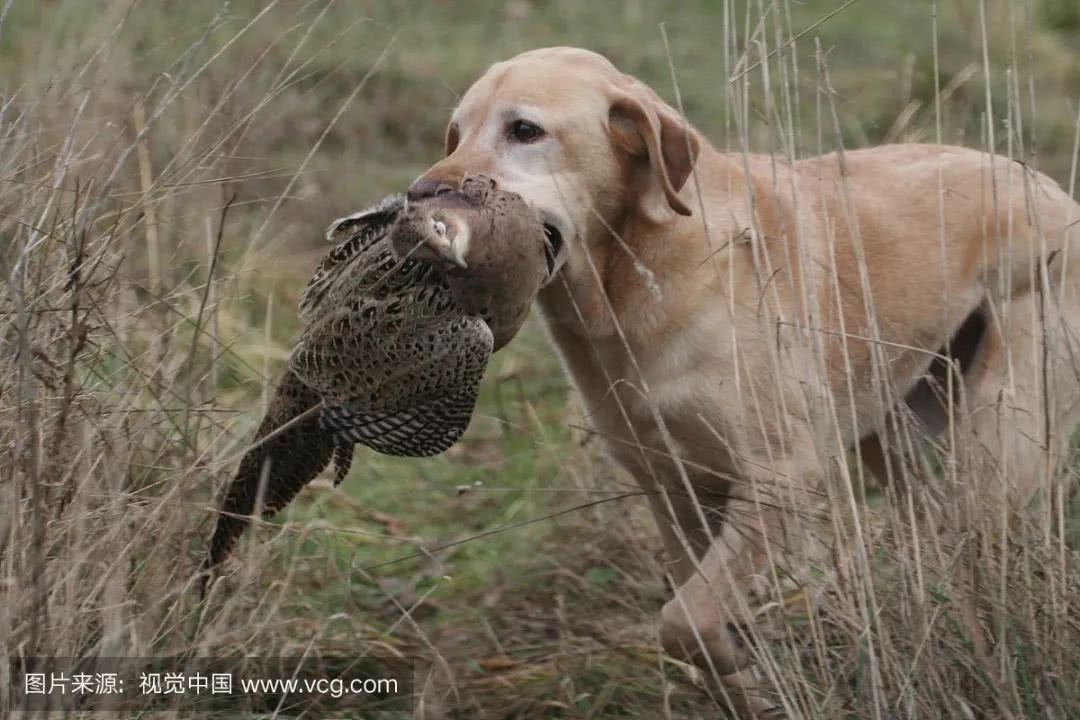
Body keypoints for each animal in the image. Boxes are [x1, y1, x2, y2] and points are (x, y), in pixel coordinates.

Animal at [406, 46, 1080, 716]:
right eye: (456, 133)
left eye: (525, 130)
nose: (419, 194)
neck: (638, 279)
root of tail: (1051, 189)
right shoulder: (675, 493)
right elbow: (690, 613)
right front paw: (744, 681)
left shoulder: (782, 480)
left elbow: (684, 620)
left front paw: (742, 662)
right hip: (897, 439)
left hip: (1001, 439)